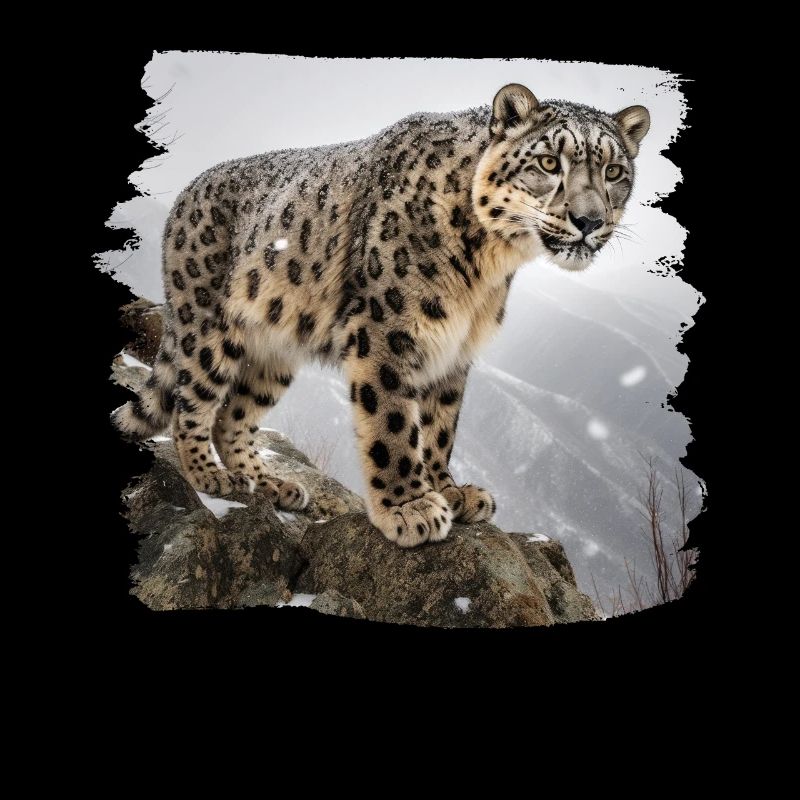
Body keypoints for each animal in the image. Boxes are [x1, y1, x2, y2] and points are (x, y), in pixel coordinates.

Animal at [112, 82, 650, 548]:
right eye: (548, 162)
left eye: (614, 172)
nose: (589, 221)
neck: (488, 267)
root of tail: (185, 194)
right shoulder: (387, 329)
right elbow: (393, 420)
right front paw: (411, 508)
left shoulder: (454, 349)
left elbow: (440, 425)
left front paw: (450, 490)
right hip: (209, 325)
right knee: (192, 402)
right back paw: (211, 476)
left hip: (275, 355)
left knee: (234, 417)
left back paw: (268, 483)